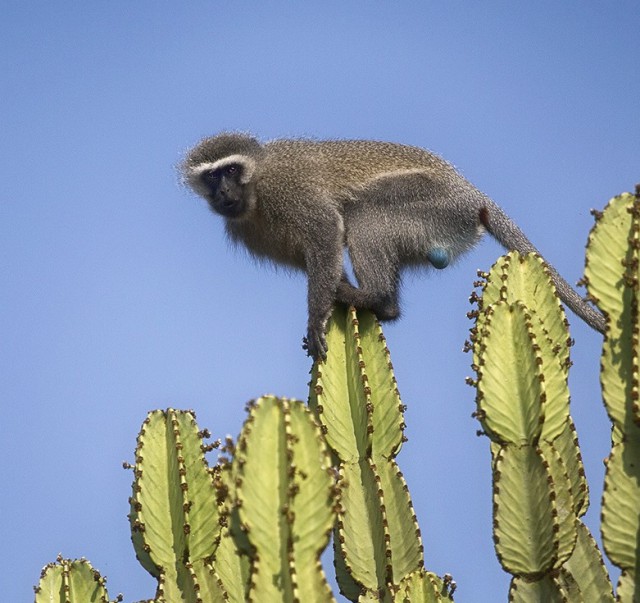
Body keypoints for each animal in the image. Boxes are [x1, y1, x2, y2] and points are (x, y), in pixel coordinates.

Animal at [181, 132, 604, 358]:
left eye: (231, 170)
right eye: (212, 176)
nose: (223, 192)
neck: (255, 192)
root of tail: (473, 196)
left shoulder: (289, 189)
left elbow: (326, 231)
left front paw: (317, 316)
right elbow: (317, 256)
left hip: (436, 205)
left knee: (363, 215)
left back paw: (376, 298)